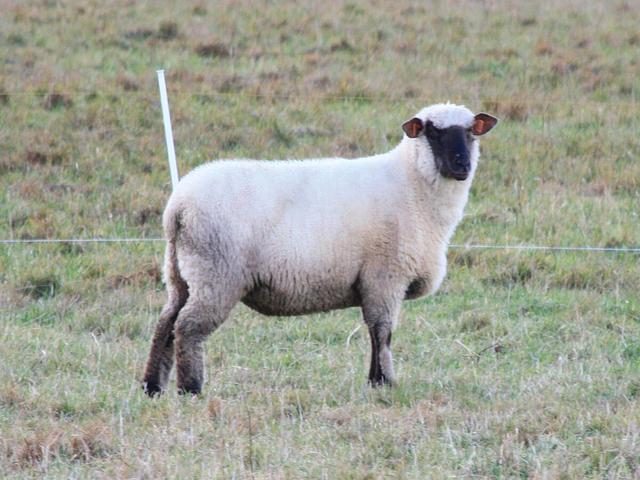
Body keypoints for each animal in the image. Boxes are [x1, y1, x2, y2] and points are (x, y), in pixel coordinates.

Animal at [142, 103, 498, 396]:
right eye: (433, 132)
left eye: (471, 132)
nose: (462, 165)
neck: (412, 186)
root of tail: (178, 207)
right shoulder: (385, 276)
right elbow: (383, 332)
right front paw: (386, 382)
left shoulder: (374, 282)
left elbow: (373, 332)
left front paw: (373, 382)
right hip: (216, 274)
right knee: (187, 328)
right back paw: (190, 388)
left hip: (180, 274)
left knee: (165, 324)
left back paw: (152, 386)